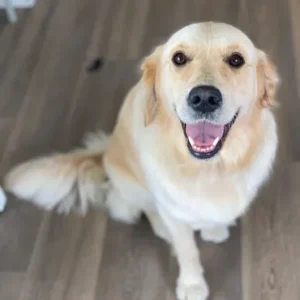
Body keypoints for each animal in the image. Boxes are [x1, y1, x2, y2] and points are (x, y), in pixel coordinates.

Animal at [4, 22, 280, 298]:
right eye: (179, 58)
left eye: (236, 60)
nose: (204, 98)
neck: (209, 168)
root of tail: (106, 151)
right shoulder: (172, 208)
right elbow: (187, 250)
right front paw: (192, 284)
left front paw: (214, 228)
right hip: (134, 187)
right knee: (150, 210)